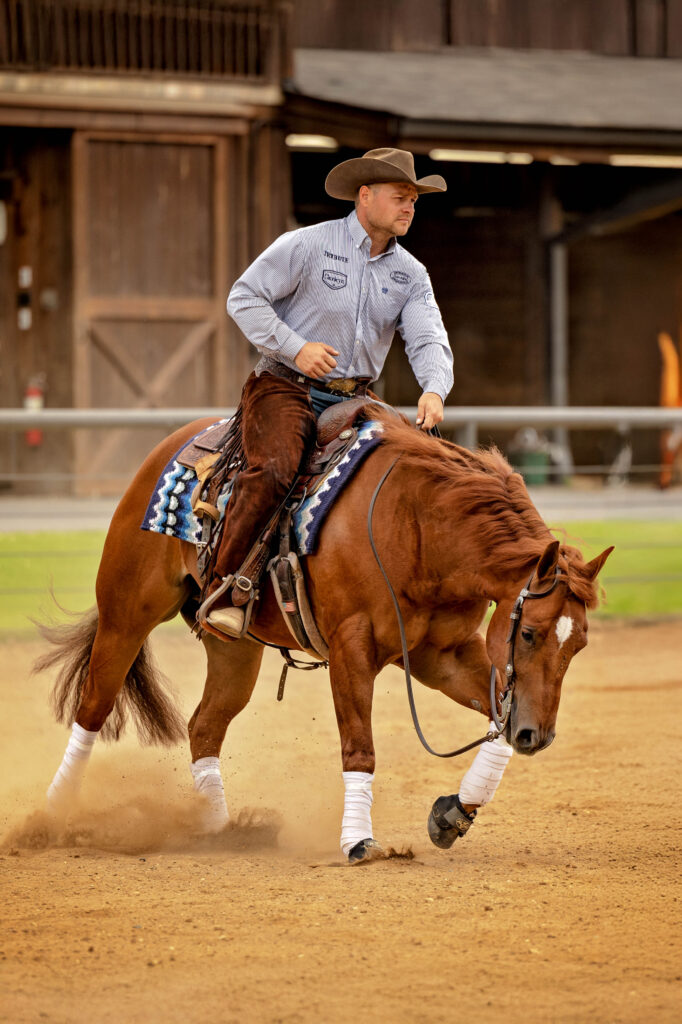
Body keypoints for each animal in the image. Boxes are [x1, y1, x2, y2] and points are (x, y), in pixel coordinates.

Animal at [37, 411, 610, 860]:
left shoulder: (440, 655)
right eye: (530, 633)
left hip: (233, 649)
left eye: (579, 644)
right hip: (126, 615)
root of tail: (171, 446)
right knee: (93, 706)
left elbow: (496, 720)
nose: (538, 736)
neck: (417, 523)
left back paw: (219, 830)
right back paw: (54, 816)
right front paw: (358, 841)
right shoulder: (352, 649)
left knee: (204, 726)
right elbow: (360, 748)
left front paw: (452, 812)